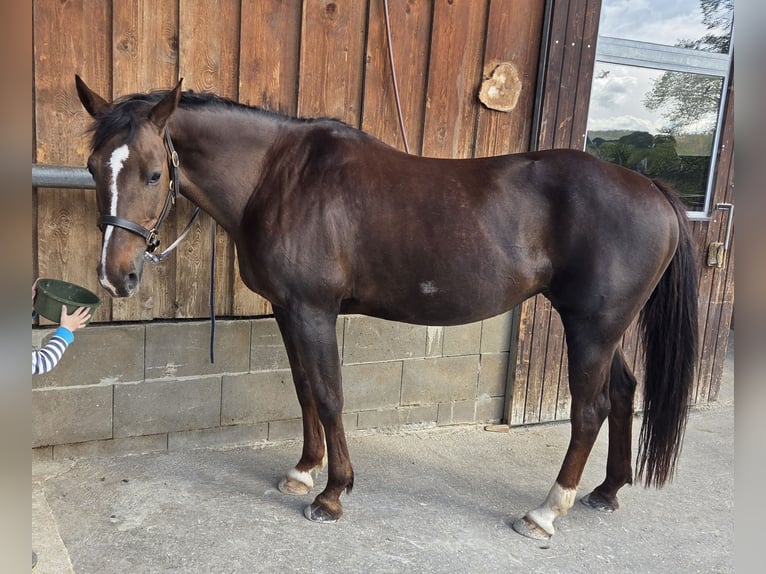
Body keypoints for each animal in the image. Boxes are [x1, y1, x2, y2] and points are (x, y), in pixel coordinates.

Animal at [74, 75, 698, 540]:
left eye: (154, 173)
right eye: (92, 167)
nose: (115, 276)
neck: (278, 176)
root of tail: (652, 188)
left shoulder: (313, 310)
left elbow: (329, 395)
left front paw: (332, 495)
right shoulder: (286, 310)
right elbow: (304, 391)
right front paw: (303, 472)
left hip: (590, 327)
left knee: (590, 410)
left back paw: (545, 513)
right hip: (607, 329)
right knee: (624, 392)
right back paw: (606, 492)